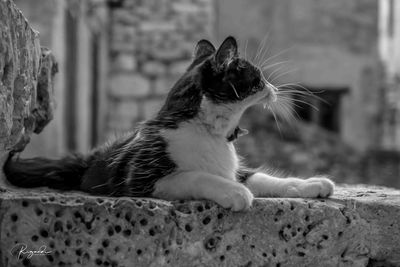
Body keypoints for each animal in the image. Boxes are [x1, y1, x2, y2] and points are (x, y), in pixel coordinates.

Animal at [3, 36, 334, 211]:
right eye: (258, 77)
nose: (273, 88)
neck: (212, 133)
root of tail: (89, 159)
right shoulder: (140, 178)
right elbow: (198, 175)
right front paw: (235, 193)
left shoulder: (235, 169)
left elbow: (263, 177)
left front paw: (312, 184)